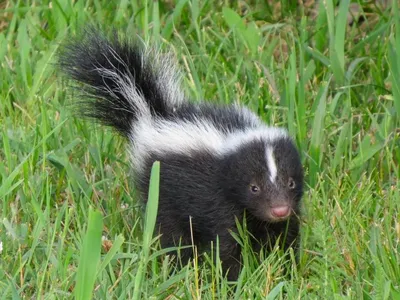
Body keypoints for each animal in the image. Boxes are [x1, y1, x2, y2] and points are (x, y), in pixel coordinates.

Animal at [58, 28, 304, 282]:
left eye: (291, 182)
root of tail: (151, 116)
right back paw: (177, 264)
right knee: (171, 232)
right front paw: (233, 279)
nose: (279, 210)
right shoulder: (218, 200)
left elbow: (285, 236)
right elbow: (225, 242)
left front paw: (288, 272)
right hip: (161, 189)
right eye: (253, 187)